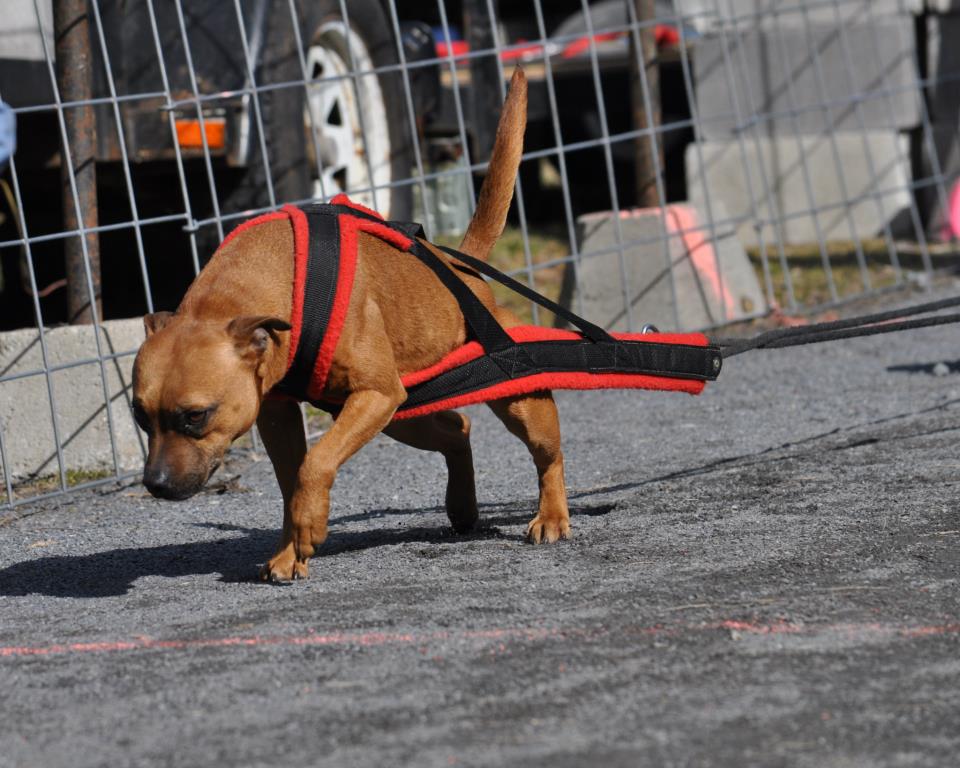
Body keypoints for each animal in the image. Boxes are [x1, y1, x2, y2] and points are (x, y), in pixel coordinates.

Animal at [136, 72, 568, 580]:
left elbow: (315, 464)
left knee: (547, 455)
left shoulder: (373, 394)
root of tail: (458, 267)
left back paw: (552, 516)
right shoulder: (280, 414)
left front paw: (309, 527)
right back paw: (462, 507)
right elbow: (291, 483)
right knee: (458, 429)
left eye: (196, 415)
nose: (155, 485)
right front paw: (290, 550)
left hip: (503, 399)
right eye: (140, 416)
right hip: (401, 416)